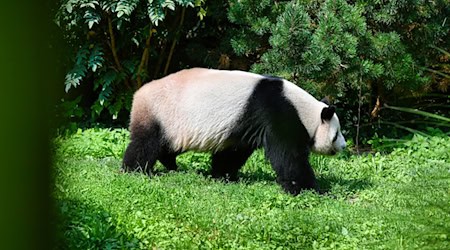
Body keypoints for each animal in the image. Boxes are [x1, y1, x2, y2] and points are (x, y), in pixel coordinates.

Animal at [121, 67, 346, 194]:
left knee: (167, 146)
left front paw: (224, 176)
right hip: (161, 113)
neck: (304, 110)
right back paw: (135, 170)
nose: (344, 146)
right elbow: (288, 157)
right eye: (336, 134)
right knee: (146, 143)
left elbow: (233, 152)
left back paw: (170, 164)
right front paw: (313, 190)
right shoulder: (277, 112)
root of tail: (138, 93)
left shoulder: (244, 124)